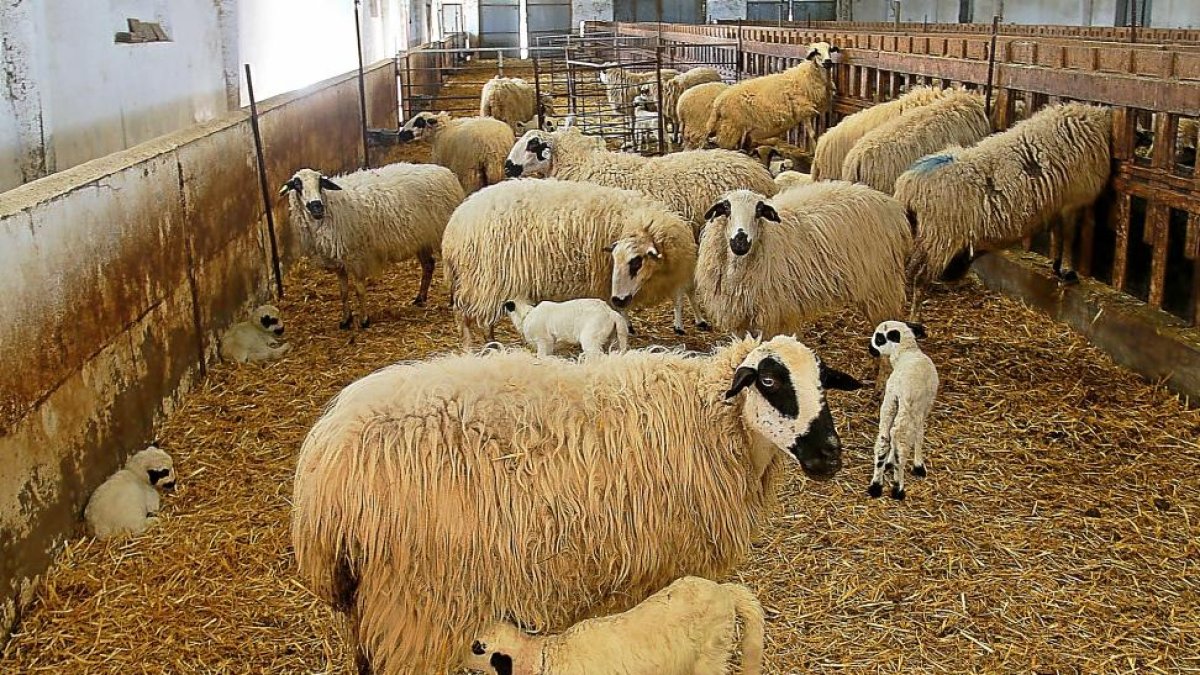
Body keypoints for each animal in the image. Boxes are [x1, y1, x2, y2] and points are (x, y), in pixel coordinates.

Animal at [281, 164, 464, 329]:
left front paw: (364, 320)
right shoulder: (339, 262)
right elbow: (343, 293)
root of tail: (447, 173)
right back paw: (420, 298)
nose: (316, 206)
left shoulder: (356, 258)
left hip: (443, 236)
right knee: (428, 265)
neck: (331, 206)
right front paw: (345, 320)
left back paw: (451, 300)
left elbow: (359, 290)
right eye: (297, 185)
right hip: (421, 238)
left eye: (320, 183)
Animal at [442, 178, 701, 346]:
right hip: (485, 280)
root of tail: (454, 227)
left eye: (636, 261)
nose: (619, 298)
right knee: (466, 316)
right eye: (617, 259)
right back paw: (473, 347)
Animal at [695, 183, 912, 339]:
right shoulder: (739, 318)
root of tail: (892, 206)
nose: (740, 241)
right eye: (726, 209)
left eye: (759, 212)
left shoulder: (775, 317)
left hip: (881, 286)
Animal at [867, 321, 938, 501]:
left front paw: (888, 463)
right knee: (901, 441)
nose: (870, 348)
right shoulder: (923, 408)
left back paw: (876, 485)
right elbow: (919, 435)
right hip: (906, 409)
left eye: (878, 338)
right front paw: (919, 465)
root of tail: (899, 383)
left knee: (885, 438)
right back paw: (898, 488)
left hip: (889, 403)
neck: (907, 352)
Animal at [895, 102, 1112, 317]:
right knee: (920, 279)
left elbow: (1058, 235)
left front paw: (1058, 267)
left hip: (924, 236)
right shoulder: (1073, 200)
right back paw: (915, 317)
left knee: (910, 270)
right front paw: (1068, 272)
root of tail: (908, 187)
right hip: (941, 238)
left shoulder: (1060, 203)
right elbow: (1068, 236)